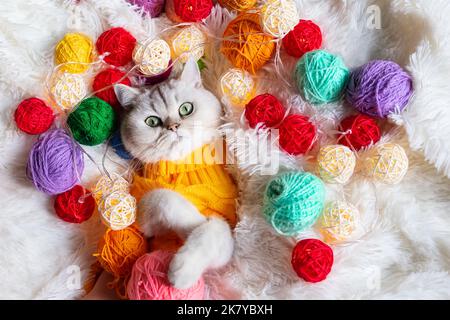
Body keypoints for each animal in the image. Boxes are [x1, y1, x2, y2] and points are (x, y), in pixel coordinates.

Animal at [114, 58, 237, 290]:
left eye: (186, 109)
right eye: (152, 121)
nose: (173, 127)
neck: (182, 165)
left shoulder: (228, 228)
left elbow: (214, 229)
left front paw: (182, 269)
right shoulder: (143, 215)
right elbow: (163, 197)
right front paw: (191, 223)